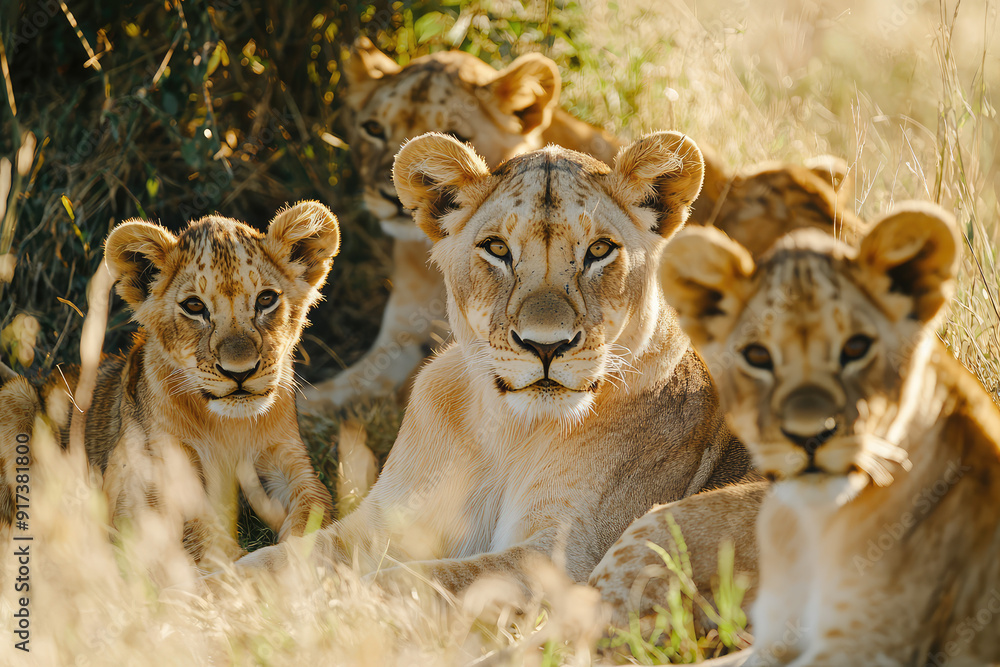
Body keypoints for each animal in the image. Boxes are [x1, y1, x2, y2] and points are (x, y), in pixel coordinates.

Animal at [2, 202, 339, 563]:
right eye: (194, 306)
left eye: (265, 300)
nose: (240, 372)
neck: (229, 427)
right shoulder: (139, 482)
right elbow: (199, 531)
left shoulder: (289, 461)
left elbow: (316, 505)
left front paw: (299, 556)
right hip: (16, 393)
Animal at [238, 132, 758, 605]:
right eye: (497, 249)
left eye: (599, 250)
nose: (545, 346)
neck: (507, 429)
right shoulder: (379, 522)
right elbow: (273, 561)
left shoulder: (566, 556)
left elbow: (413, 582)